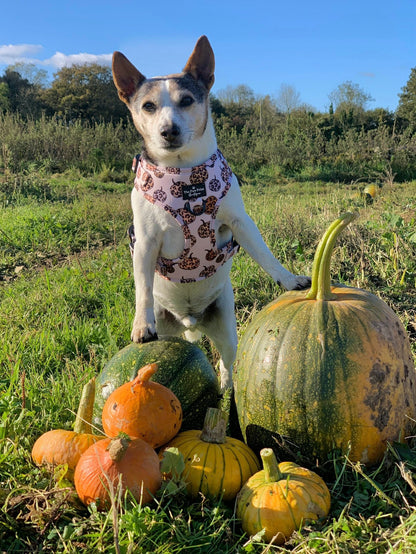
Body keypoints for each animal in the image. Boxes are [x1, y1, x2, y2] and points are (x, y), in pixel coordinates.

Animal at [112, 35, 310, 388]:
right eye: (148, 106)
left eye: (187, 100)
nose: (168, 130)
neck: (183, 175)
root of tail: (192, 319)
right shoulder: (145, 242)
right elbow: (143, 287)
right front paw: (141, 323)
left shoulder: (241, 222)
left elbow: (265, 254)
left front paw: (288, 280)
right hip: (170, 330)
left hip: (226, 329)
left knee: (225, 363)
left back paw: (225, 389)